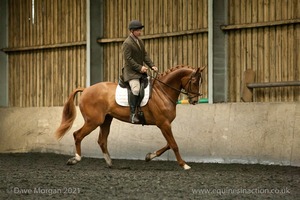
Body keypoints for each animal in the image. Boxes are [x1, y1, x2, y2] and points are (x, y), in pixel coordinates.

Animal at [55, 65, 205, 170]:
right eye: (194, 81)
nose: (194, 100)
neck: (163, 92)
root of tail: (86, 90)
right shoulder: (164, 124)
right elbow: (174, 145)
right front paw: (184, 165)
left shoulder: (165, 124)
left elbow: (169, 144)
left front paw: (149, 156)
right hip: (93, 121)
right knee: (77, 135)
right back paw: (75, 159)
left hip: (106, 120)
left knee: (102, 140)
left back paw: (109, 163)